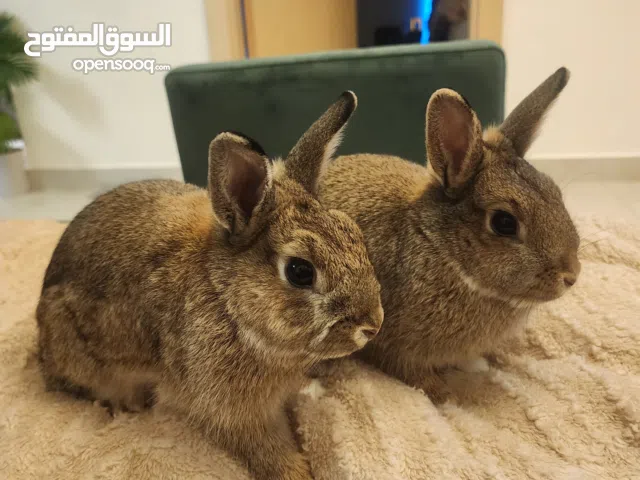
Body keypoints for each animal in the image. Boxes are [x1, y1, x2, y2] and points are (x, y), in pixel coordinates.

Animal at [36, 91, 384, 480]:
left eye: (353, 233)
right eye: (299, 271)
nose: (373, 325)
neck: (228, 303)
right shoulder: (233, 413)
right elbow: (267, 450)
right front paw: (298, 471)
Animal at [318, 68, 580, 403]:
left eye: (555, 192)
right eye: (504, 222)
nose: (571, 275)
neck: (442, 250)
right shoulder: (393, 345)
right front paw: (444, 395)